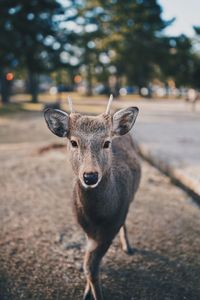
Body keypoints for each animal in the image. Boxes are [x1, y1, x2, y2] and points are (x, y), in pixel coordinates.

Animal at [43, 96, 141, 300]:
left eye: (107, 143)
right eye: (73, 142)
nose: (90, 176)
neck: (99, 216)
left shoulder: (112, 226)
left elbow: (91, 265)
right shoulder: (86, 228)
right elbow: (89, 264)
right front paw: (88, 292)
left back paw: (128, 247)